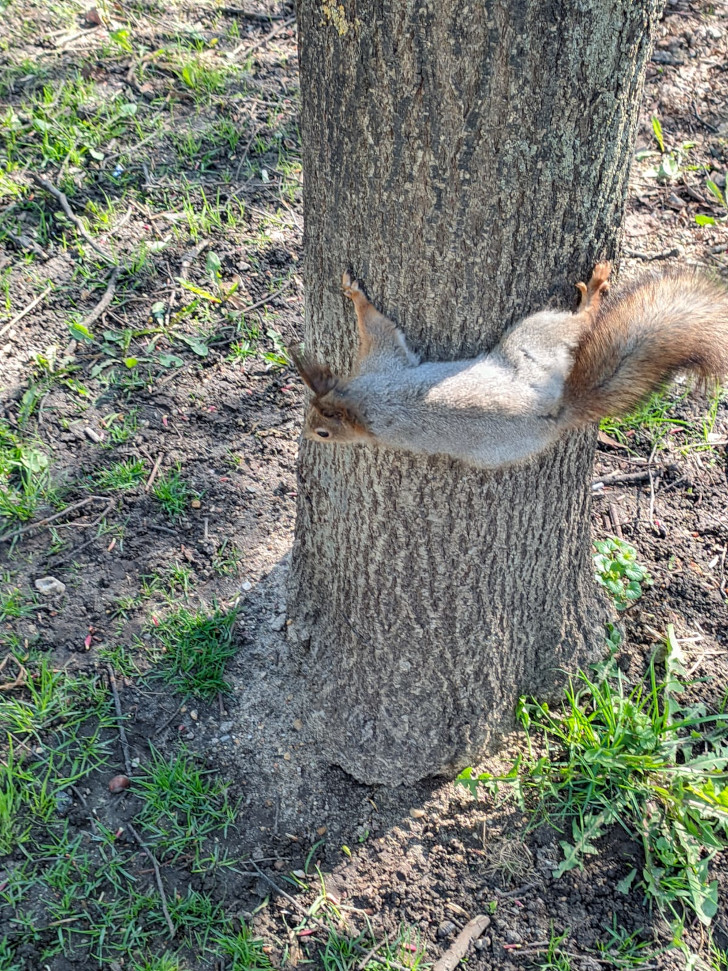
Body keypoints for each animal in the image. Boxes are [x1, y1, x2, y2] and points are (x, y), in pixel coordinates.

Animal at [292, 262, 728, 468]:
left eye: (323, 432)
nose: (307, 438)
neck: (359, 402)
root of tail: (554, 410)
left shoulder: (384, 362)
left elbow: (376, 324)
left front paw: (354, 294)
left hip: (530, 335)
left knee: (580, 322)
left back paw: (592, 296)